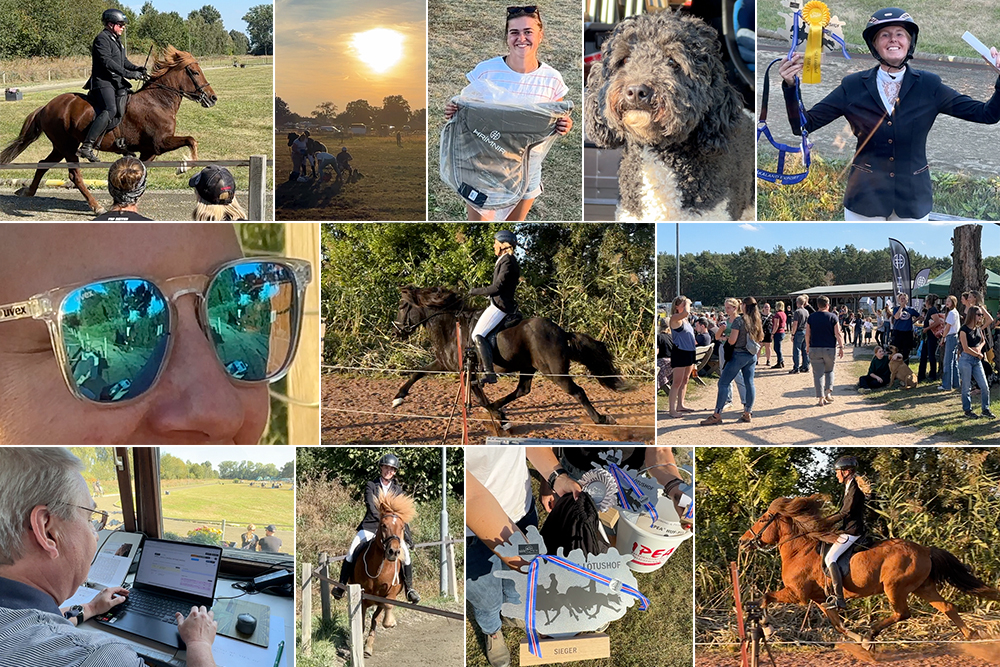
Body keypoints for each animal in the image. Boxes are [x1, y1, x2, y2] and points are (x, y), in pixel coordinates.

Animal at [0, 46, 216, 214]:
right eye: (194, 72)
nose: (212, 98)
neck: (158, 101)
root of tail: (46, 106)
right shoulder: (160, 143)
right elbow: (191, 140)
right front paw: (184, 167)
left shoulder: (149, 151)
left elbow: (141, 171)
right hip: (67, 147)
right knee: (74, 175)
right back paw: (96, 206)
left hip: (61, 146)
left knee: (43, 164)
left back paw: (28, 191)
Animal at [350, 490, 416, 656]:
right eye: (383, 526)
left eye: (402, 527)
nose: (394, 552)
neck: (380, 568)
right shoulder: (363, 596)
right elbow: (362, 619)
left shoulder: (389, 593)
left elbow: (384, 610)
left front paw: (390, 623)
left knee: (376, 616)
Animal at [392, 286, 620, 428]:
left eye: (402, 307)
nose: (396, 332)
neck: (451, 327)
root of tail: (562, 332)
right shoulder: (446, 364)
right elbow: (418, 372)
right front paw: (398, 397)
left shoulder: (467, 370)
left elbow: (479, 397)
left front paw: (500, 418)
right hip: (528, 367)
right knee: (522, 390)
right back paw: (498, 406)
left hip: (555, 372)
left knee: (578, 391)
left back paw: (600, 419)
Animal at [740, 496, 996, 648]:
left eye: (763, 519)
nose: (743, 542)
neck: (799, 550)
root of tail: (924, 549)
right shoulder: (821, 600)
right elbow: (839, 626)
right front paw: (859, 640)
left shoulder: (797, 593)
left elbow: (765, 597)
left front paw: (767, 628)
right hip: (923, 587)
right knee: (948, 607)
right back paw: (972, 636)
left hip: (895, 587)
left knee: (902, 613)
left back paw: (872, 634)